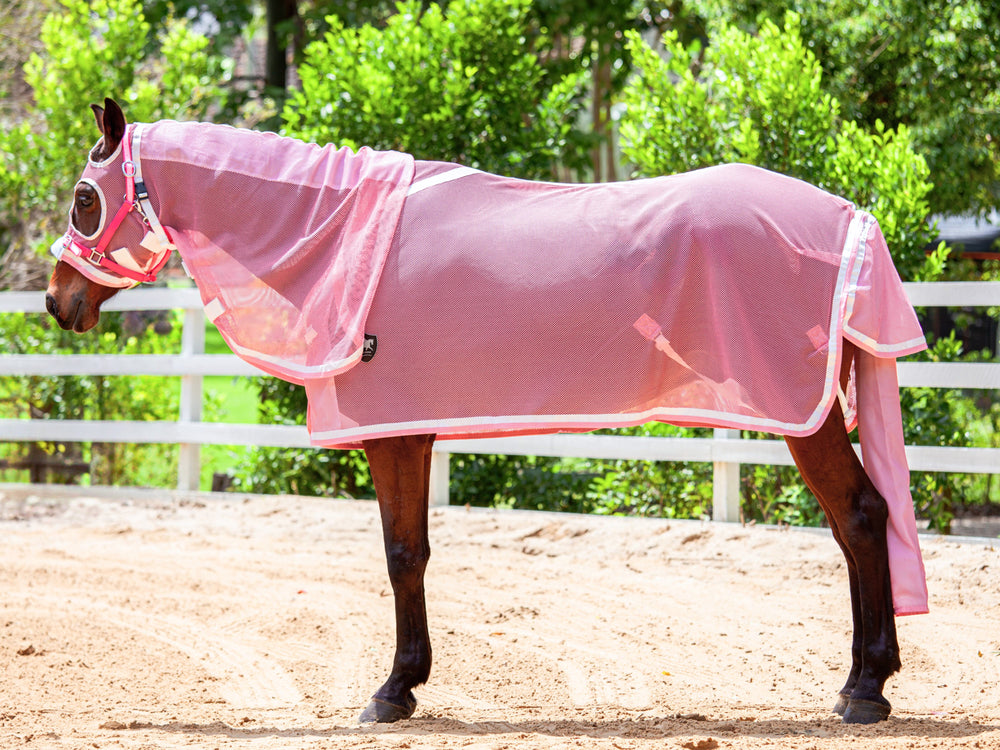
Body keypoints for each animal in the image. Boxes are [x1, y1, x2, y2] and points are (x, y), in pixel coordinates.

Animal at [45, 98, 930, 725]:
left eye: (86, 199)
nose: (57, 302)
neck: (345, 238)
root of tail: (850, 220)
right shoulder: (411, 432)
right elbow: (412, 551)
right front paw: (406, 684)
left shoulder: (396, 432)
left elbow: (402, 554)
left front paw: (393, 691)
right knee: (858, 525)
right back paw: (865, 679)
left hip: (804, 416)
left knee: (860, 517)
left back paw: (864, 691)